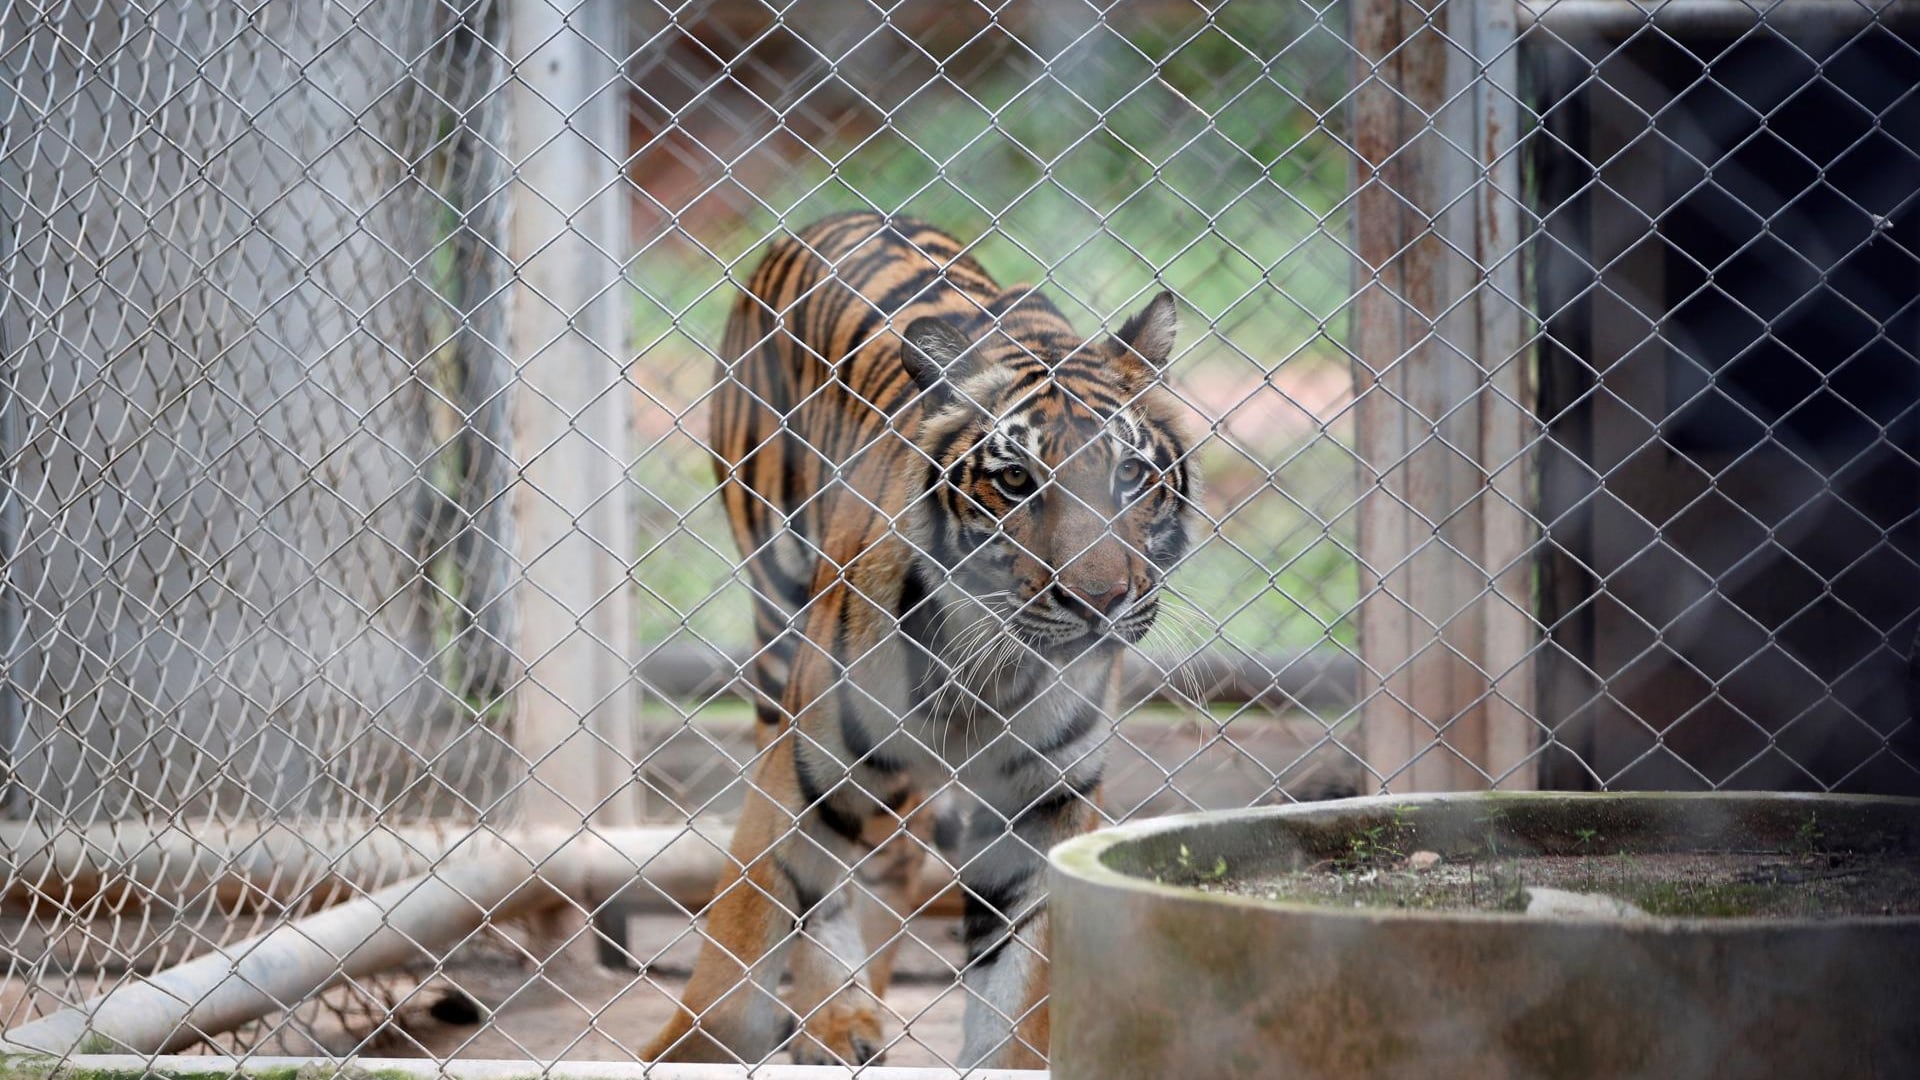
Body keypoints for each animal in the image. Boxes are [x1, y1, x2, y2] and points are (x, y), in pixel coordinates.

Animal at [640, 211, 1199, 1068]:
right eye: (1015, 481)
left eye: (1130, 477)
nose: (1100, 601)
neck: (988, 668)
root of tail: (835, 216)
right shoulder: (808, 763)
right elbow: (752, 922)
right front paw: (692, 1046)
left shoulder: (1044, 802)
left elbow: (1020, 993)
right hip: (778, 628)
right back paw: (836, 1020)